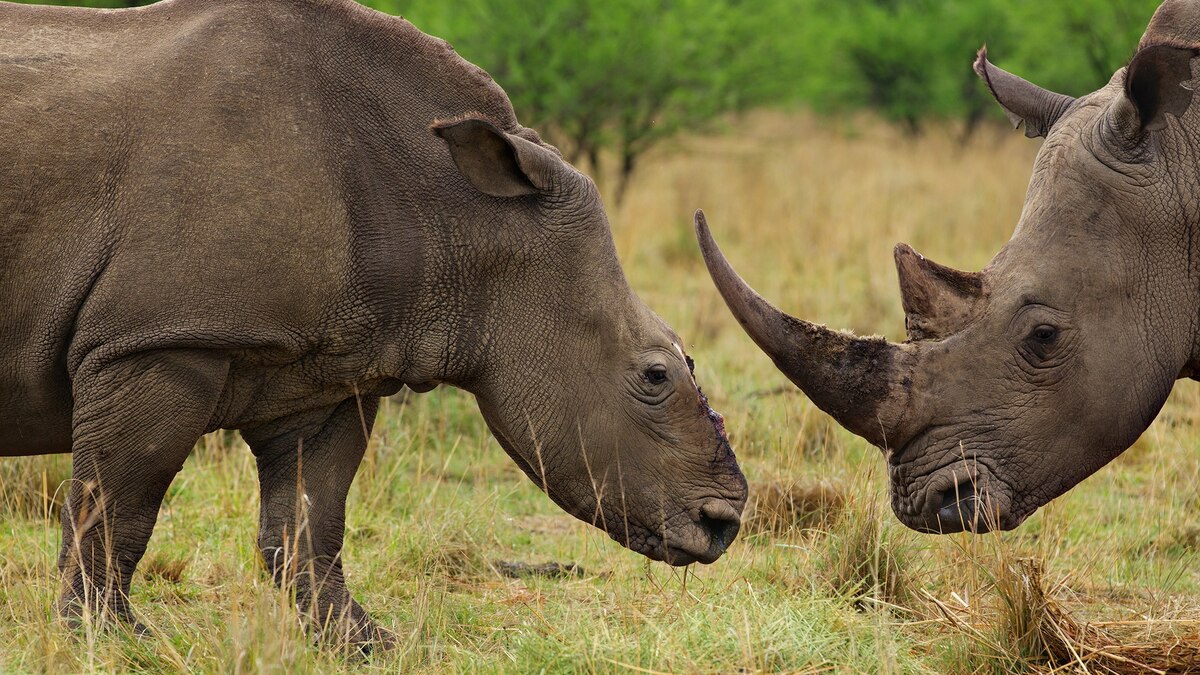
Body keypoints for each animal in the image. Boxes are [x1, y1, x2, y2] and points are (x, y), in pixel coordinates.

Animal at [0, 0, 747, 648]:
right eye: (654, 374)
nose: (723, 523)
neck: (462, 212)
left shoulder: (329, 368)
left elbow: (309, 519)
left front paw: (363, 642)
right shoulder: (160, 339)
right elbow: (118, 502)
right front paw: (109, 639)